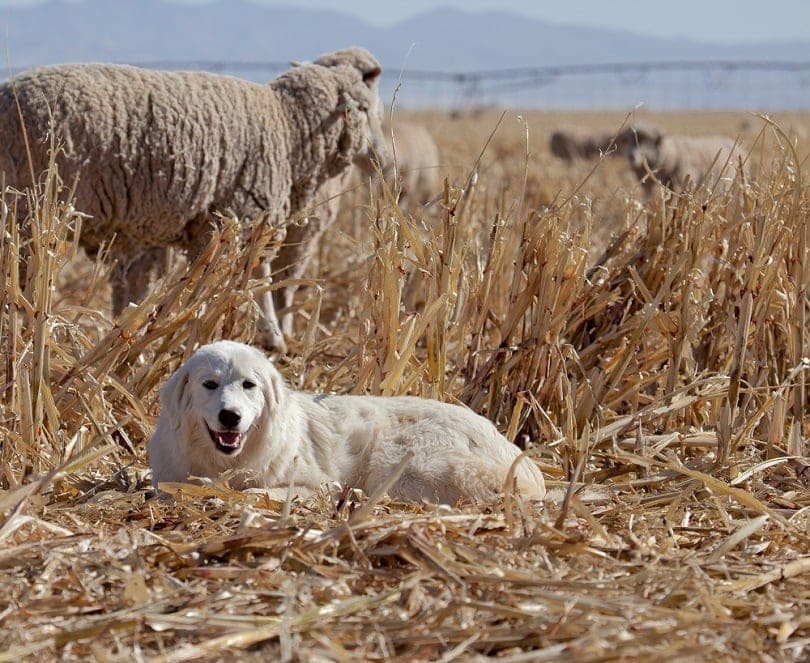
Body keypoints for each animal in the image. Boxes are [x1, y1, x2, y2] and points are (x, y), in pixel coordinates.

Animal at [0, 45, 386, 352]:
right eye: (369, 109)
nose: (381, 160)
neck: (289, 126)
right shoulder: (243, 215)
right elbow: (254, 278)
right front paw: (269, 339)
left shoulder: (162, 232)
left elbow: (140, 293)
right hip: (28, 216)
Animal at [148, 342, 548, 504]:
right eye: (209, 384)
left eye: (249, 385)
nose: (231, 416)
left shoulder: (317, 482)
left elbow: (259, 492)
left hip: (406, 466)